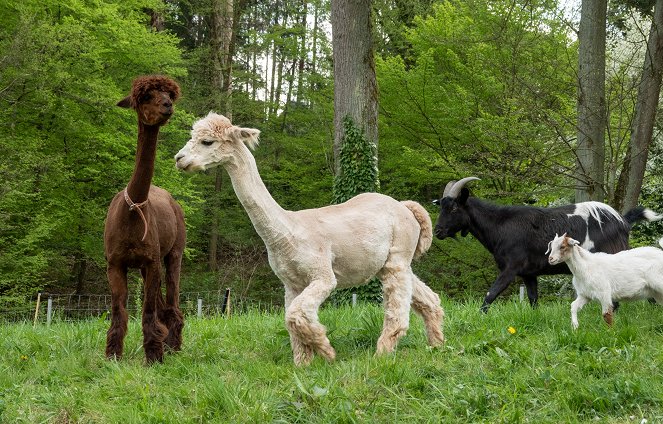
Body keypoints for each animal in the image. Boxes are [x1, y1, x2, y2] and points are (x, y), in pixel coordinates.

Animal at [434, 176, 660, 312]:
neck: (500, 225)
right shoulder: (529, 274)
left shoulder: (511, 268)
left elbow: (491, 293)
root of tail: (623, 221)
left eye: (453, 208)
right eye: (442, 206)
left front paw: (481, 315)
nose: (438, 231)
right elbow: (533, 299)